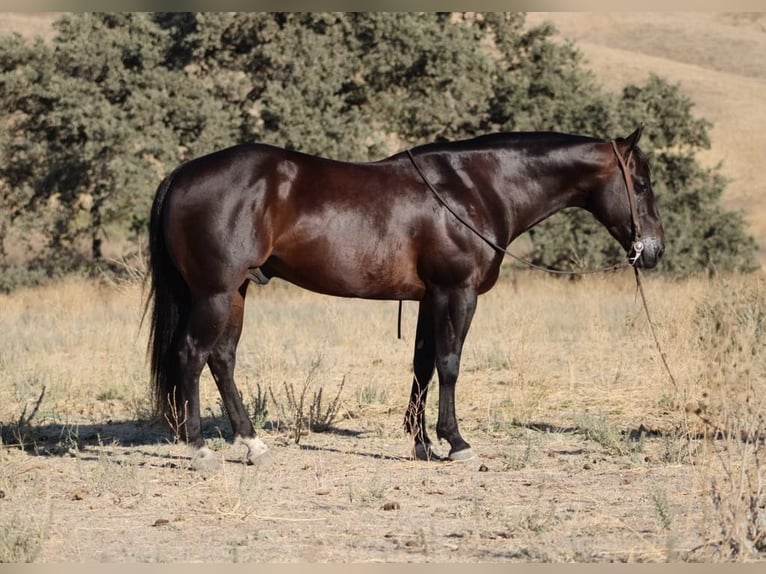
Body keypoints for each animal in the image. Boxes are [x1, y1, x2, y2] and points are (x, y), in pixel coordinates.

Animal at [146, 127, 664, 472]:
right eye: (640, 184)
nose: (654, 250)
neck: (475, 186)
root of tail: (182, 174)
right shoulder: (457, 293)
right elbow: (450, 364)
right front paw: (456, 443)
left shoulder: (428, 299)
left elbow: (423, 365)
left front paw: (422, 444)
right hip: (214, 293)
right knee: (192, 355)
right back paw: (199, 450)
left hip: (235, 291)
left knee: (222, 359)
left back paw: (252, 444)